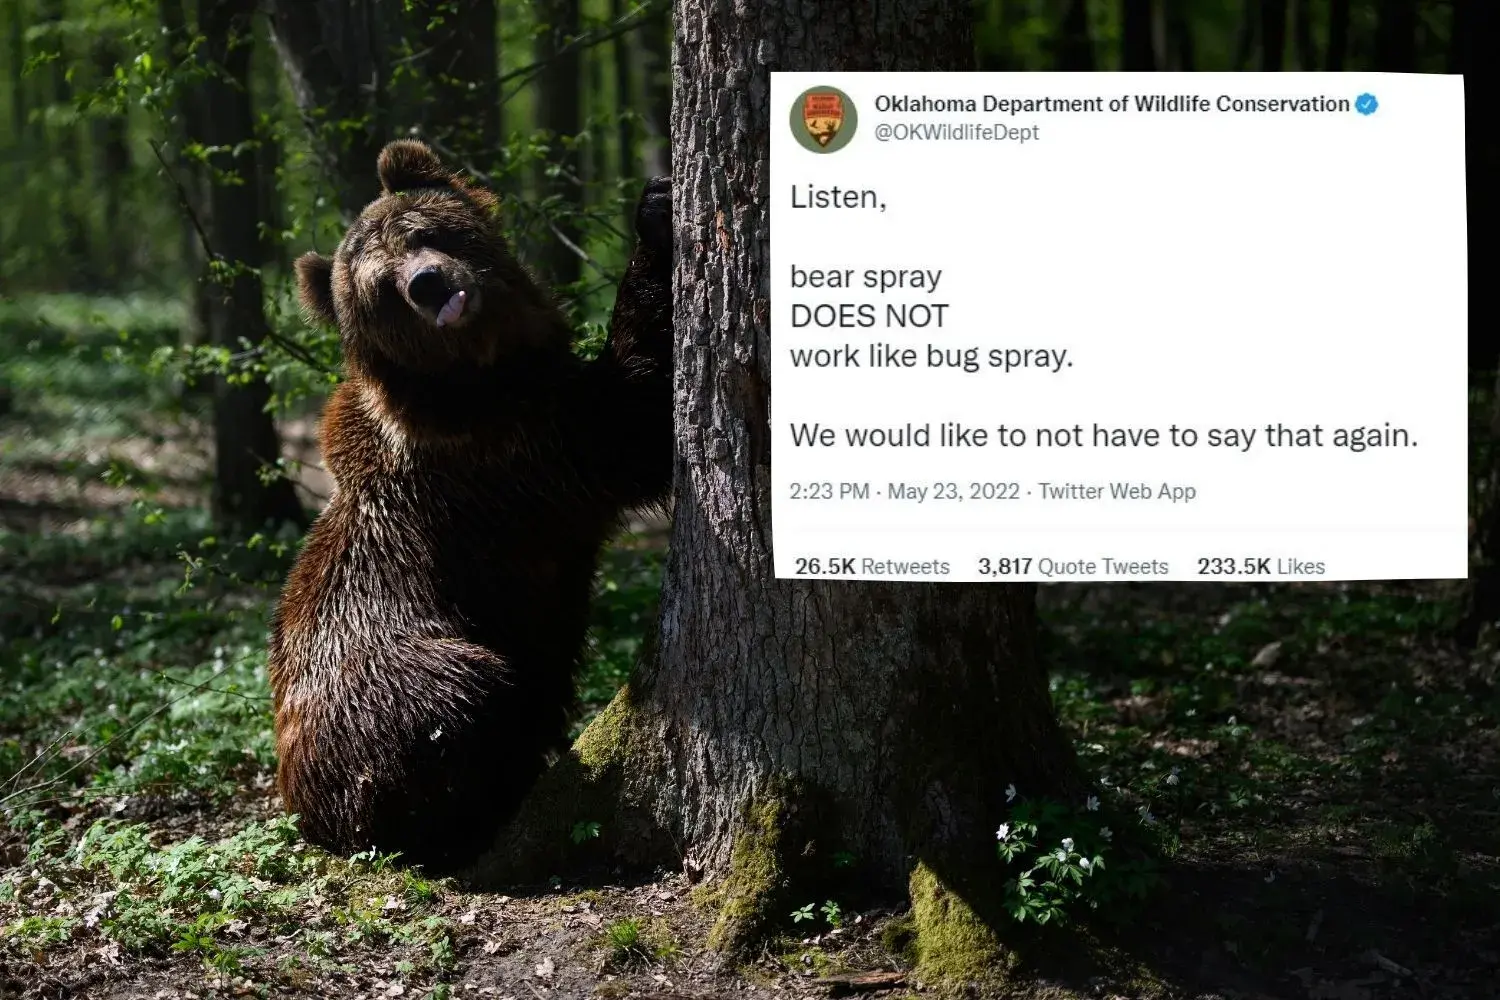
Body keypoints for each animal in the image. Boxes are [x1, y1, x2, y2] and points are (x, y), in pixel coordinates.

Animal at [266, 139, 674, 875]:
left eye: (422, 232)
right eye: (380, 287)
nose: (428, 284)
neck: (484, 370)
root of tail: (305, 813)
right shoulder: (512, 453)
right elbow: (631, 420)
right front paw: (655, 220)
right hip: (383, 686)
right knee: (463, 698)